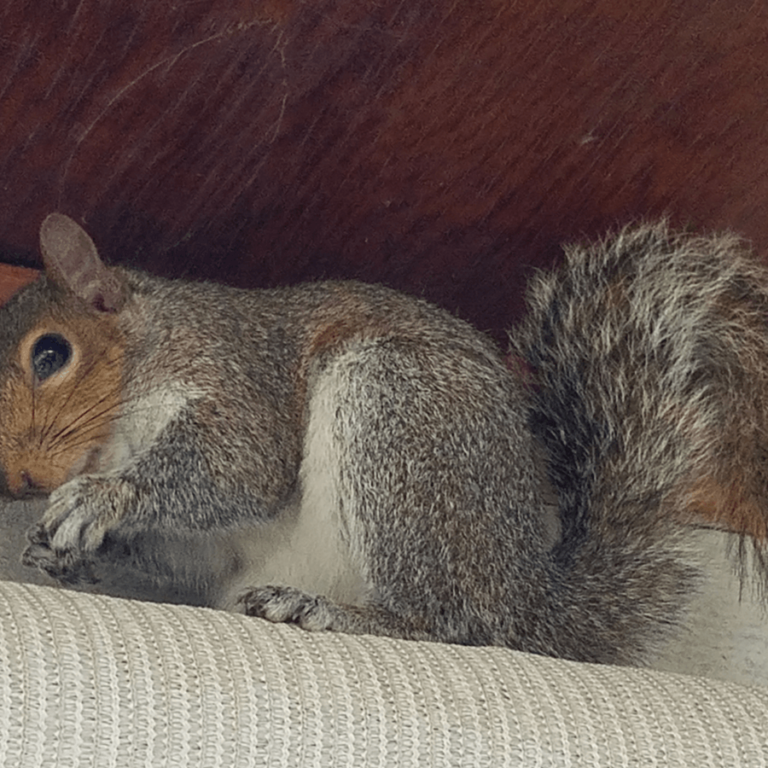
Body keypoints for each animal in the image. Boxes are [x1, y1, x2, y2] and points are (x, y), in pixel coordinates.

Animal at [1, 212, 767, 665]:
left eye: (50, 354)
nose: (17, 484)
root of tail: (526, 597)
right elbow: (183, 558)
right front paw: (62, 551)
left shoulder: (232, 369)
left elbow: (240, 465)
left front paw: (104, 498)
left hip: (397, 412)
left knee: (454, 624)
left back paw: (331, 613)